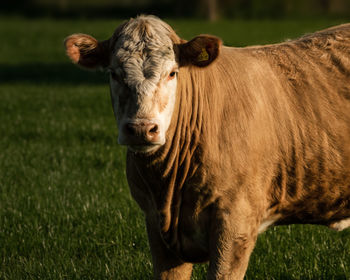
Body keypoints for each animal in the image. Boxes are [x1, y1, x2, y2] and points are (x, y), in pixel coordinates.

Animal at [65, 15, 350, 280]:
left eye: (172, 72)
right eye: (114, 74)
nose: (142, 128)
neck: (169, 190)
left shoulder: (236, 221)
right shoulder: (155, 225)